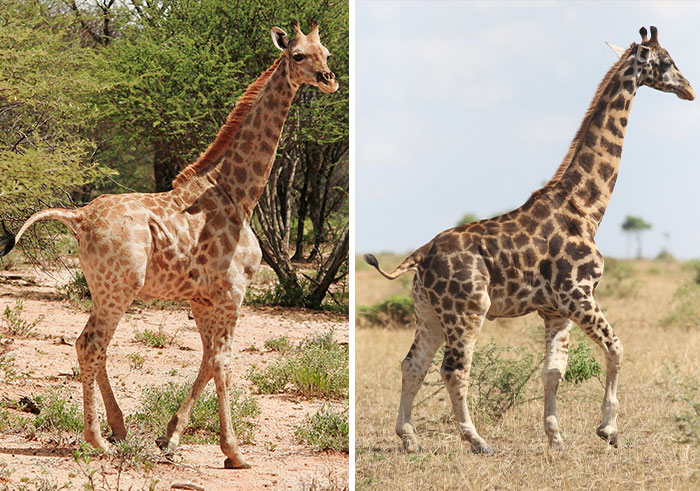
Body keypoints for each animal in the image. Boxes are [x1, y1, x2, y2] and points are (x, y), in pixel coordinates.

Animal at [0, 20, 338, 469]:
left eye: (327, 53)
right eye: (297, 55)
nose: (329, 79)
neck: (239, 193)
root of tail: (78, 219)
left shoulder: (202, 297)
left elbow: (208, 360)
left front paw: (171, 437)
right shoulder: (232, 292)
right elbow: (223, 362)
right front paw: (234, 452)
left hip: (102, 288)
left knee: (94, 346)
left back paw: (119, 429)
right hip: (120, 288)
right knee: (90, 344)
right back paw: (98, 440)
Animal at [365, 26, 693, 454]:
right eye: (666, 61)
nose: (689, 89)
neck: (586, 209)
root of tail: (421, 254)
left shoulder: (556, 310)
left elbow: (553, 371)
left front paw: (556, 437)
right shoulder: (579, 294)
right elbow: (616, 348)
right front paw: (608, 429)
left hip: (428, 312)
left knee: (413, 364)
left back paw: (409, 439)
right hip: (468, 308)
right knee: (454, 368)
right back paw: (476, 440)